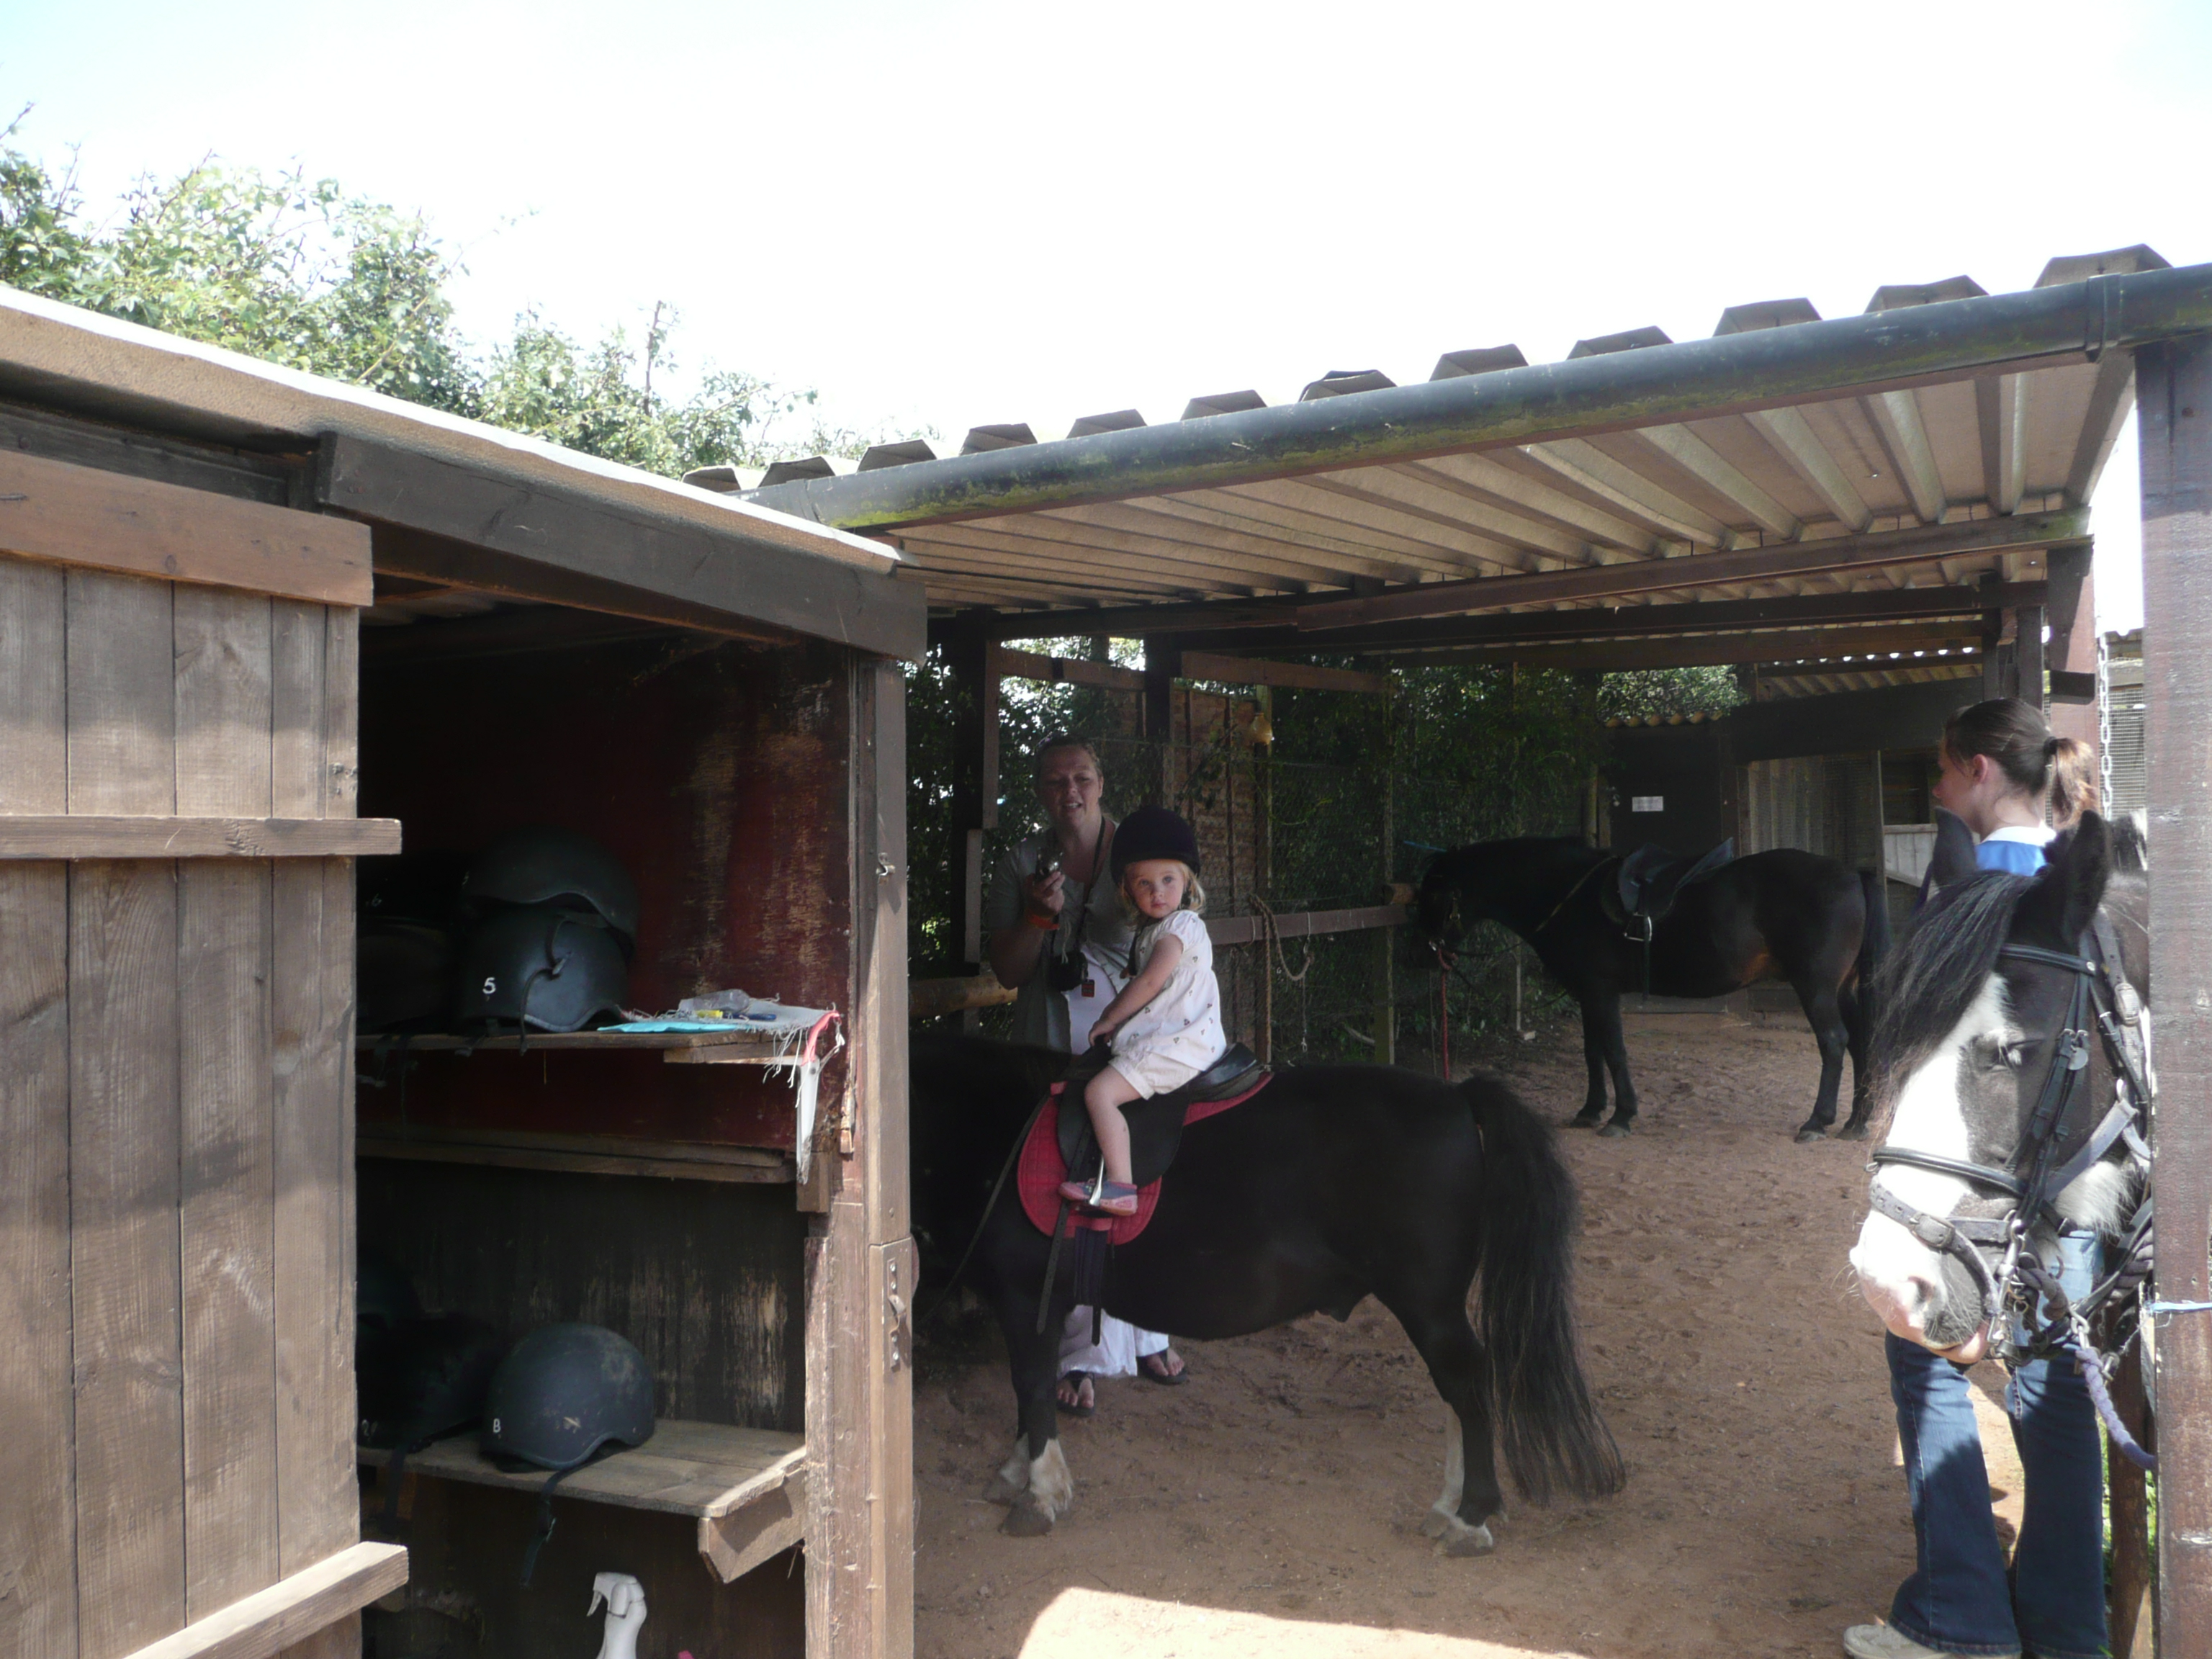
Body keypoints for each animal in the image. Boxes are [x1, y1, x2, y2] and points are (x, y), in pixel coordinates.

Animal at [909, 1033, 1625, 1555]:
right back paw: (1454, 1504)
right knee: (1458, 1389)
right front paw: (1017, 1472)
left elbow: (1030, 1385)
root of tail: (1458, 1096)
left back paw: (1469, 1515)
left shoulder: (1027, 1297)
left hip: (1429, 1304)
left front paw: (1039, 1491)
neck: (994, 1126)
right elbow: (1026, 1393)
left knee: (1467, 1382)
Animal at [1416, 838, 1888, 1141]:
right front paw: (1590, 1110)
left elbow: (1614, 1051)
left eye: (1435, 894)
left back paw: (1818, 1122)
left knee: (1834, 1043)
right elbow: (1593, 1051)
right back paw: (1855, 1123)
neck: (1569, 896)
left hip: (1816, 989)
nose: (1426, 952)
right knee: (1861, 1044)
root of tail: (1851, 874)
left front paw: (1621, 1116)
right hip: (1843, 991)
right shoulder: (1588, 994)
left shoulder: (1601, 992)